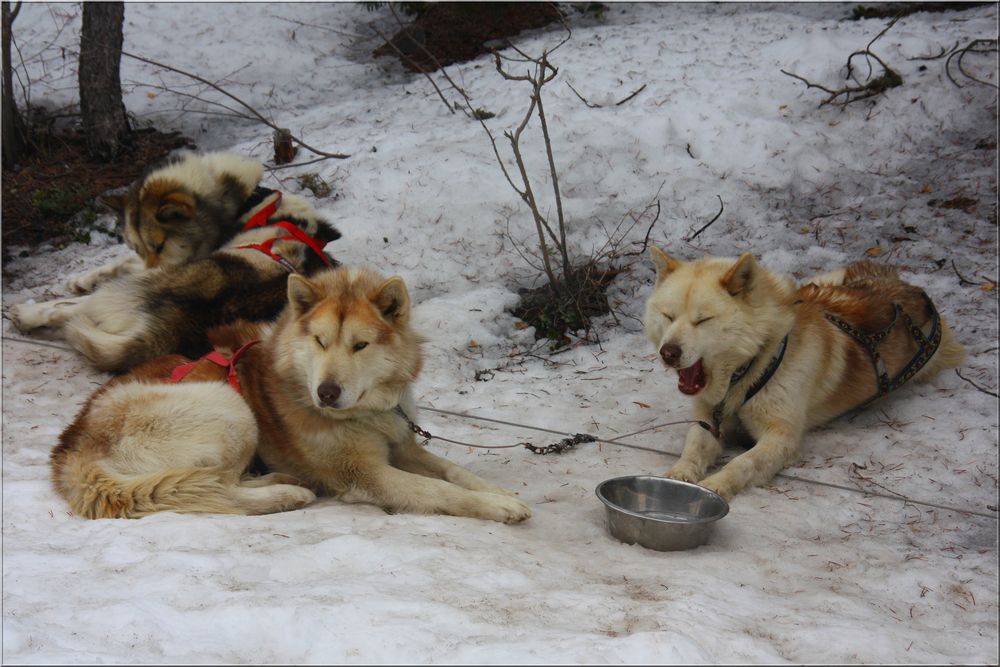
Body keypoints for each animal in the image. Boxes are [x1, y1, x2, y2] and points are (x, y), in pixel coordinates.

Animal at [48, 268, 532, 524]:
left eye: (360, 345)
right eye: (319, 341)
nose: (327, 392)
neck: (367, 412)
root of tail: (71, 448)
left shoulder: (402, 443)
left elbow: (452, 471)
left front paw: (495, 489)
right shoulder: (368, 474)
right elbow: (440, 490)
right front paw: (496, 505)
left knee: (211, 483)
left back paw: (285, 481)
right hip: (228, 407)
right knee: (216, 490)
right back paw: (286, 495)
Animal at [644, 250, 964, 500]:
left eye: (703, 320)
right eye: (668, 316)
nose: (668, 352)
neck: (751, 367)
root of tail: (905, 286)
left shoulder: (781, 437)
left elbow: (742, 463)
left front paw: (717, 483)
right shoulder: (709, 419)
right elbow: (692, 449)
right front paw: (679, 473)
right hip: (820, 282)